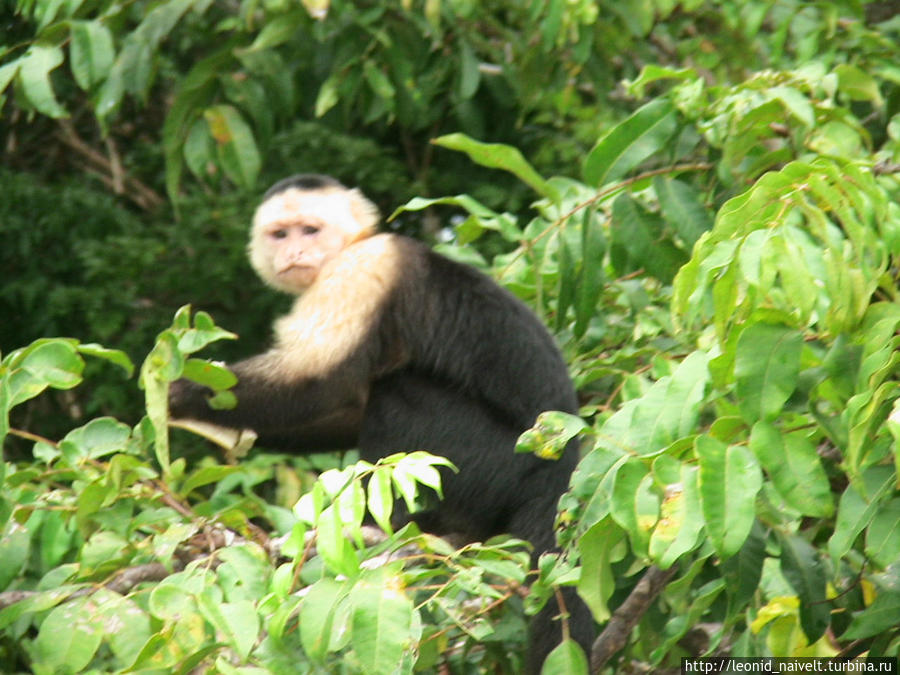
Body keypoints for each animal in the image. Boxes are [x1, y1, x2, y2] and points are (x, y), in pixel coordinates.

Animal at [170, 174, 596, 672]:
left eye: (310, 230)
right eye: (280, 234)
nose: (295, 251)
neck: (352, 245)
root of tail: (561, 464)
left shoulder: (358, 272)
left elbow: (314, 384)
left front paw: (181, 395)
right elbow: (346, 408)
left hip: (498, 461)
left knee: (398, 394)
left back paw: (388, 524)